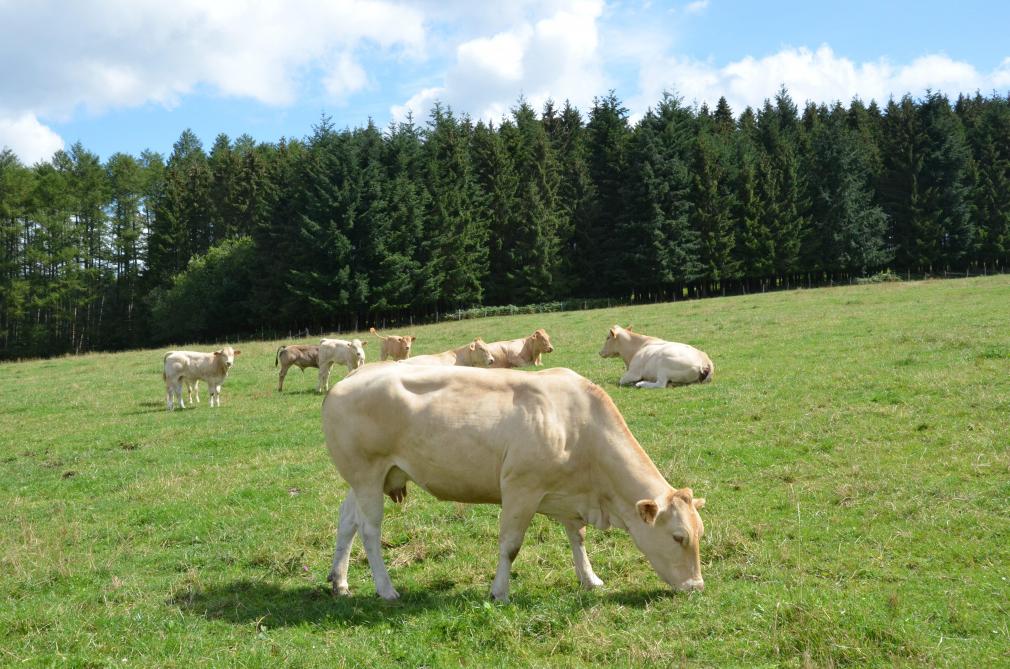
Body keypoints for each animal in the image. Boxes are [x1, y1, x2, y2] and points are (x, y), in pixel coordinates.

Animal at [319, 361, 707, 602]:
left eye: (700, 533)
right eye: (678, 536)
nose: (697, 586)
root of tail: (350, 377)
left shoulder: (569, 493)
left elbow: (577, 539)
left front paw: (590, 579)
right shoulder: (521, 489)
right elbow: (510, 545)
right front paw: (500, 592)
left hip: (371, 477)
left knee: (346, 520)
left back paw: (339, 581)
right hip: (367, 474)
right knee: (370, 530)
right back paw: (386, 589)